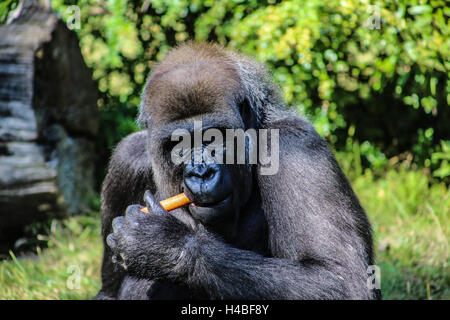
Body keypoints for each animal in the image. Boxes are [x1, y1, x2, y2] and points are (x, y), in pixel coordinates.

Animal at [94, 42, 380, 300]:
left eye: (213, 137)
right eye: (178, 144)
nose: (201, 173)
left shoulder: (296, 147)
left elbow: (341, 277)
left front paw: (163, 246)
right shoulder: (127, 159)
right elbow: (108, 292)